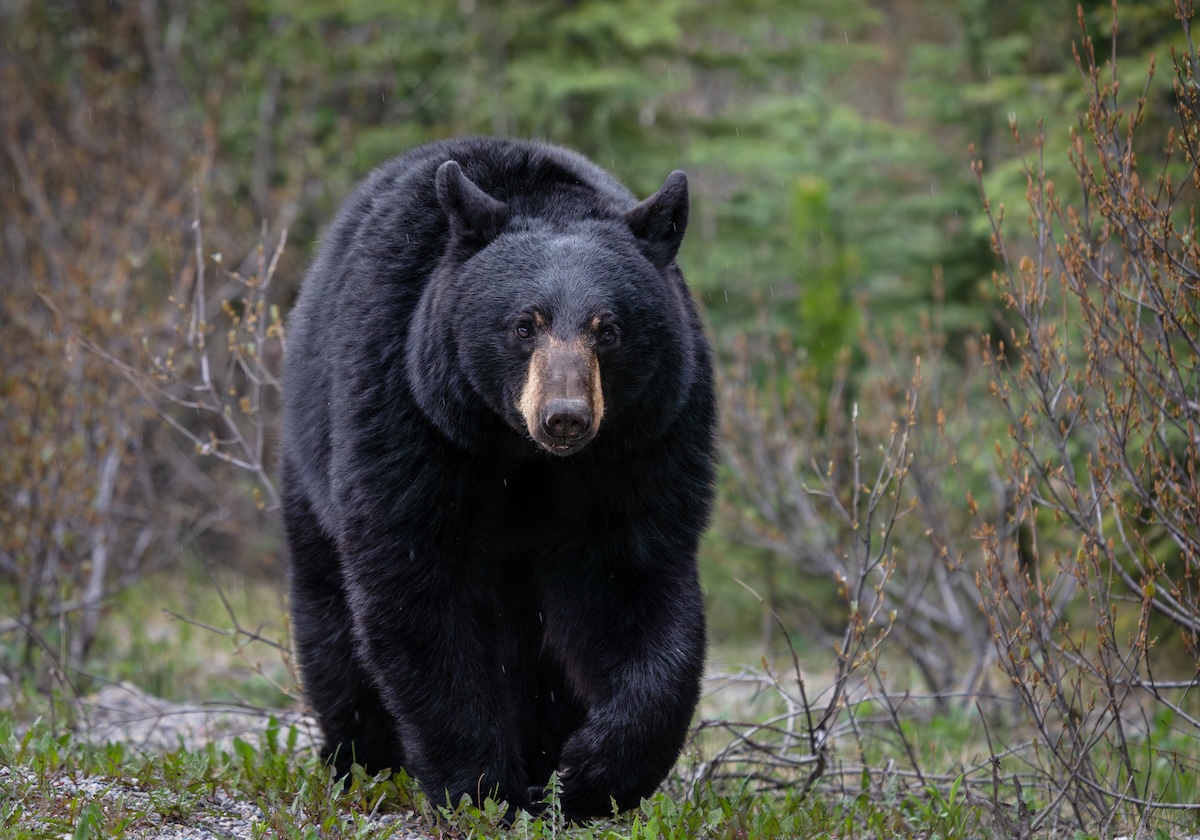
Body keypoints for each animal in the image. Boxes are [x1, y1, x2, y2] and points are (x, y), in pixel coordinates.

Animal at [280, 137, 716, 821]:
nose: (564, 417)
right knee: (329, 613)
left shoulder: (643, 444)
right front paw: (482, 787)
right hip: (309, 465)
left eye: (609, 329)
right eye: (523, 324)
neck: (522, 455)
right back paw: (359, 760)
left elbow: (630, 581)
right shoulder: (412, 417)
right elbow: (419, 584)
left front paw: (590, 772)